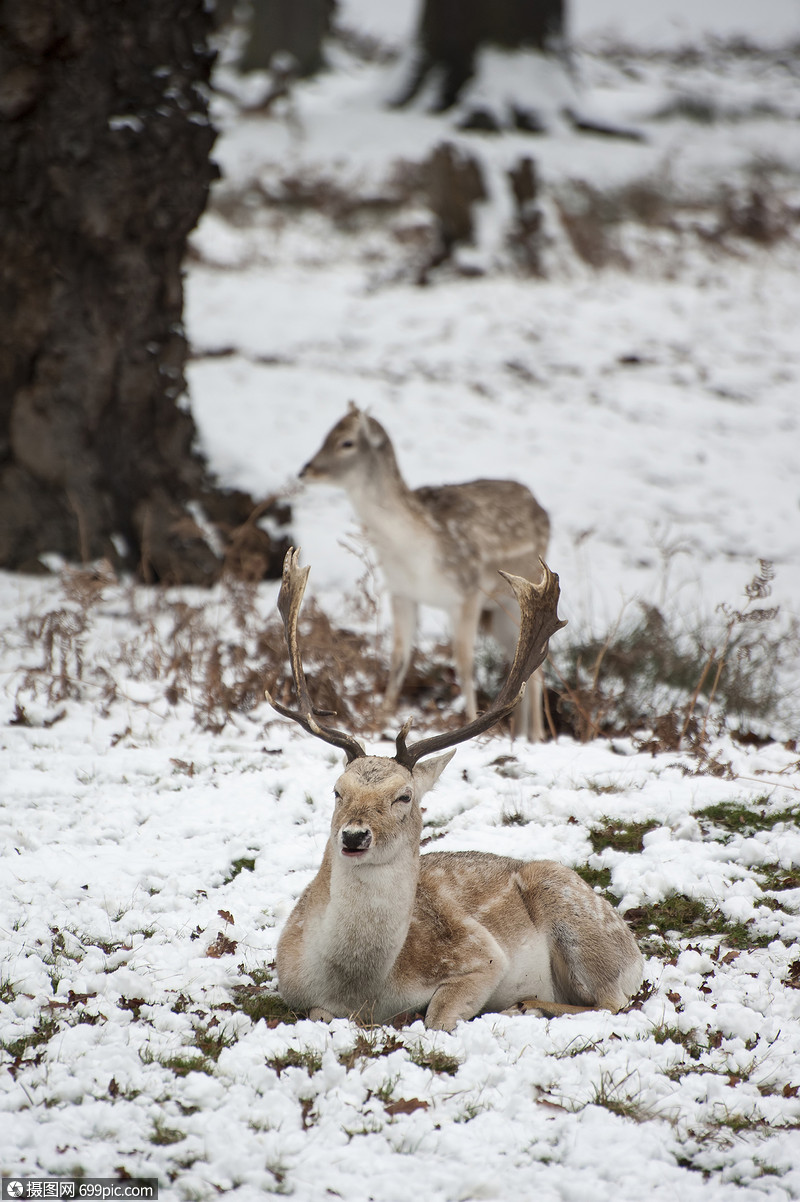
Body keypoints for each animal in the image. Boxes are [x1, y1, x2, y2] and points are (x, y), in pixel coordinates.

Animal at [267, 548, 644, 1032]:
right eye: (337, 790)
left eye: (404, 796)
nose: (353, 836)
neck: (360, 990)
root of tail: (635, 950)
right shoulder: (294, 989)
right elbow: (317, 1013)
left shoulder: (481, 956)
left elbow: (438, 1016)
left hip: (577, 917)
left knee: (613, 1001)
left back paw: (529, 1005)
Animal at [299, 402, 551, 740]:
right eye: (327, 434)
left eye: (346, 442)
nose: (305, 470)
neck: (417, 556)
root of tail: (541, 508)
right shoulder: (401, 592)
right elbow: (399, 657)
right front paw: (381, 719)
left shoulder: (467, 593)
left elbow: (464, 663)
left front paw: (471, 724)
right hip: (499, 610)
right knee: (518, 661)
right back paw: (519, 735)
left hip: (524, 594)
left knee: (536, 665)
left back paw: (536, 735)